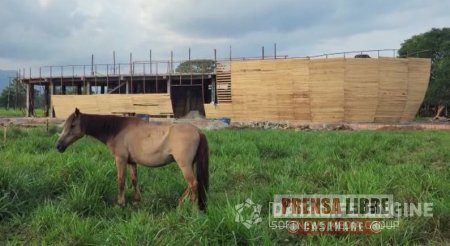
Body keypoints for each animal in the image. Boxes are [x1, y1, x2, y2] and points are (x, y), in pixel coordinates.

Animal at [56, 108, 209, 210]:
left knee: (193, 183)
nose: (58, 146)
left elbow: (121, 181)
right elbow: (135, 180)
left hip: (184, 165)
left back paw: (192, 208)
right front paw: (136, 201)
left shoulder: (121, 159)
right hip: (190, 164)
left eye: (72, 125)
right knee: (192, 184)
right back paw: (180, 204)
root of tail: (198, 131)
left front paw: (120, 203)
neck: (117, 130)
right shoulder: (131, 162)